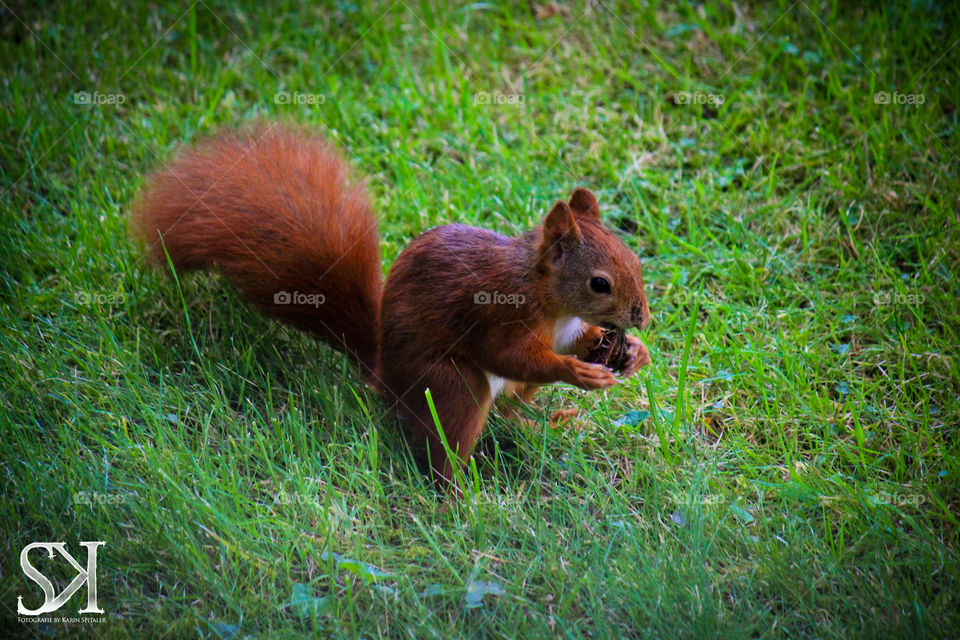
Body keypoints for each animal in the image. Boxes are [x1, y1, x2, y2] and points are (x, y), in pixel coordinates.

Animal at [133, 124, 652, 496]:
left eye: (633, 257)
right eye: (600, 283)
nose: (642, 318)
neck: (547, 296)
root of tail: (383, 374)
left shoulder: (564, 328)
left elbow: (575, 341)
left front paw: (633, 353)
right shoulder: (499, 314)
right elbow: (510, 355)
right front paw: (578, 372)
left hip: (493, 394)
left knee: (507, 411)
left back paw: (543, 423)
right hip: (451, 386)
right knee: (450, 443)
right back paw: (459, 501)